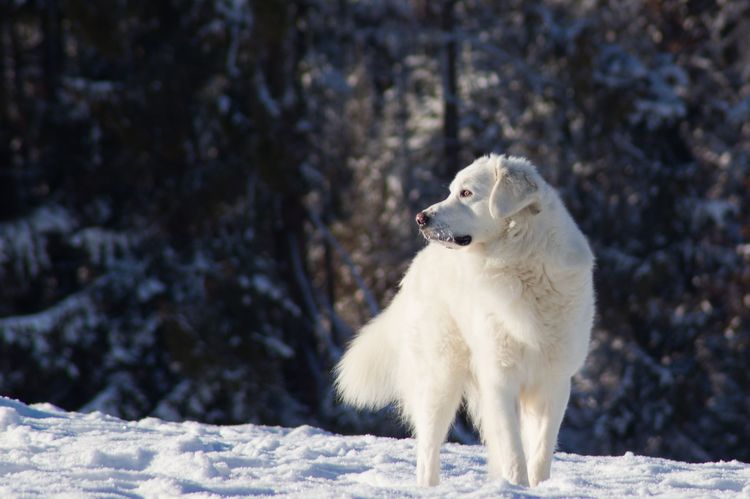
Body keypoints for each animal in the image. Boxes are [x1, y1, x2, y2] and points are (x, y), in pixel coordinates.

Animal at [334, 155, 592, 488]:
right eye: (451, 191)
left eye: (466, 193)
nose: (420, 218)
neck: (521, 263)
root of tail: (417, 265)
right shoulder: (499, 377)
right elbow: (514, 451)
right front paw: (517, 486)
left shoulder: (555, 382)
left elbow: (540, 450)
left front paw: (537, 487)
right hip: (440, 378)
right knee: (427, 451)